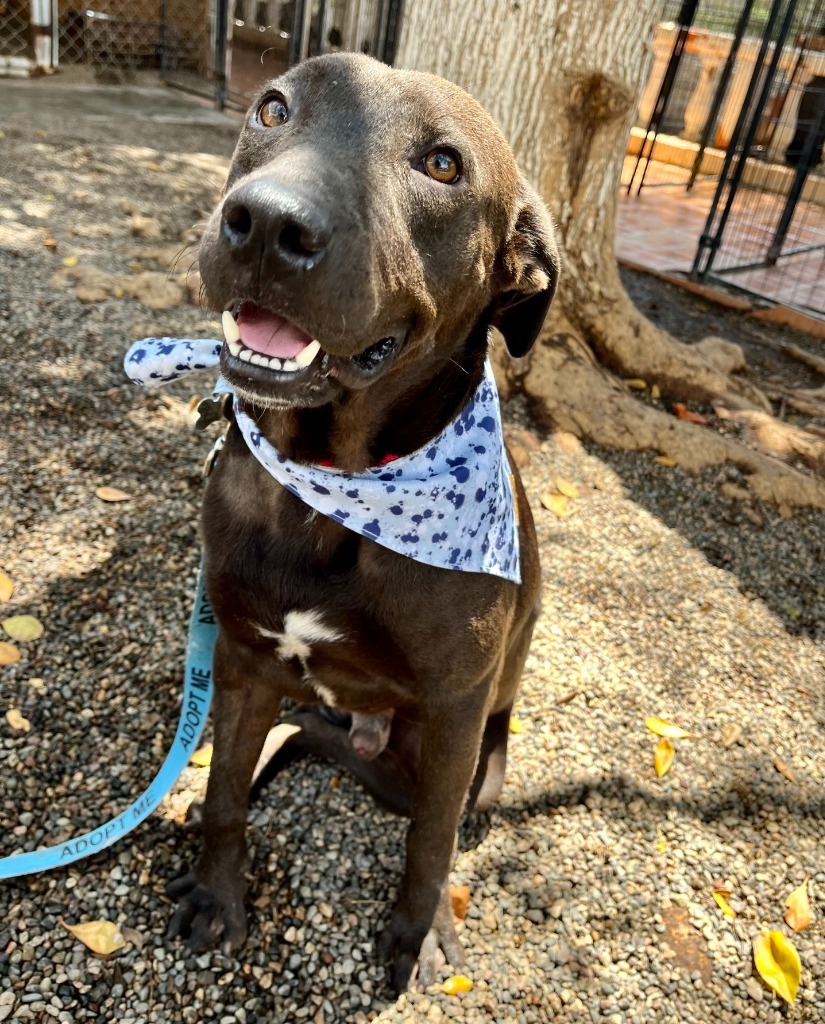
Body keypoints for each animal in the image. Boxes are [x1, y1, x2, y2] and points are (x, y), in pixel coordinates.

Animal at [164, 49, 560, 991]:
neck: (325, 484)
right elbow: (227, 791)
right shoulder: (242, 661)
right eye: (273, 108)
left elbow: (429, 842)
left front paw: (418, 935)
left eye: (443, 165)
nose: (267, 223)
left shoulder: (453, 712)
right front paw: (218, 892)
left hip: (470, 745)